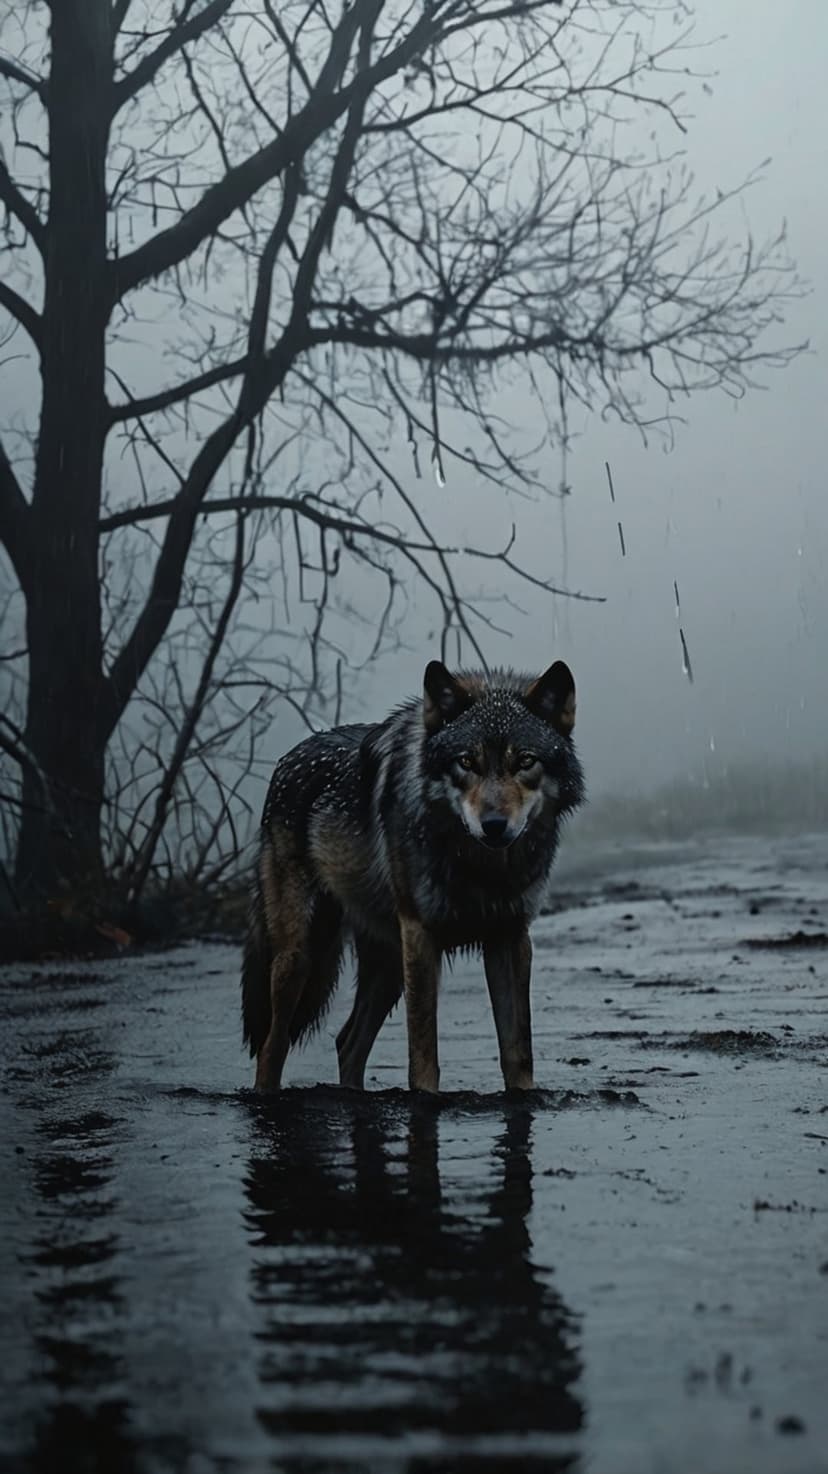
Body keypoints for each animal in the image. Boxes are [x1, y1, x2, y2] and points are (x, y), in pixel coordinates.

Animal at [241, 658, 584, 1093]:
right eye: (466, 762)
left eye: (525, 761)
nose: (493, 826)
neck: (480, 868)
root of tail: (287, 760)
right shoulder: (421, 933)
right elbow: (423, 1052)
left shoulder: (510, 936)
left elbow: (517, 1050)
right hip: (301, 957)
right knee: (274, 1045)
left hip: (387, 966)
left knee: (347, 1043)